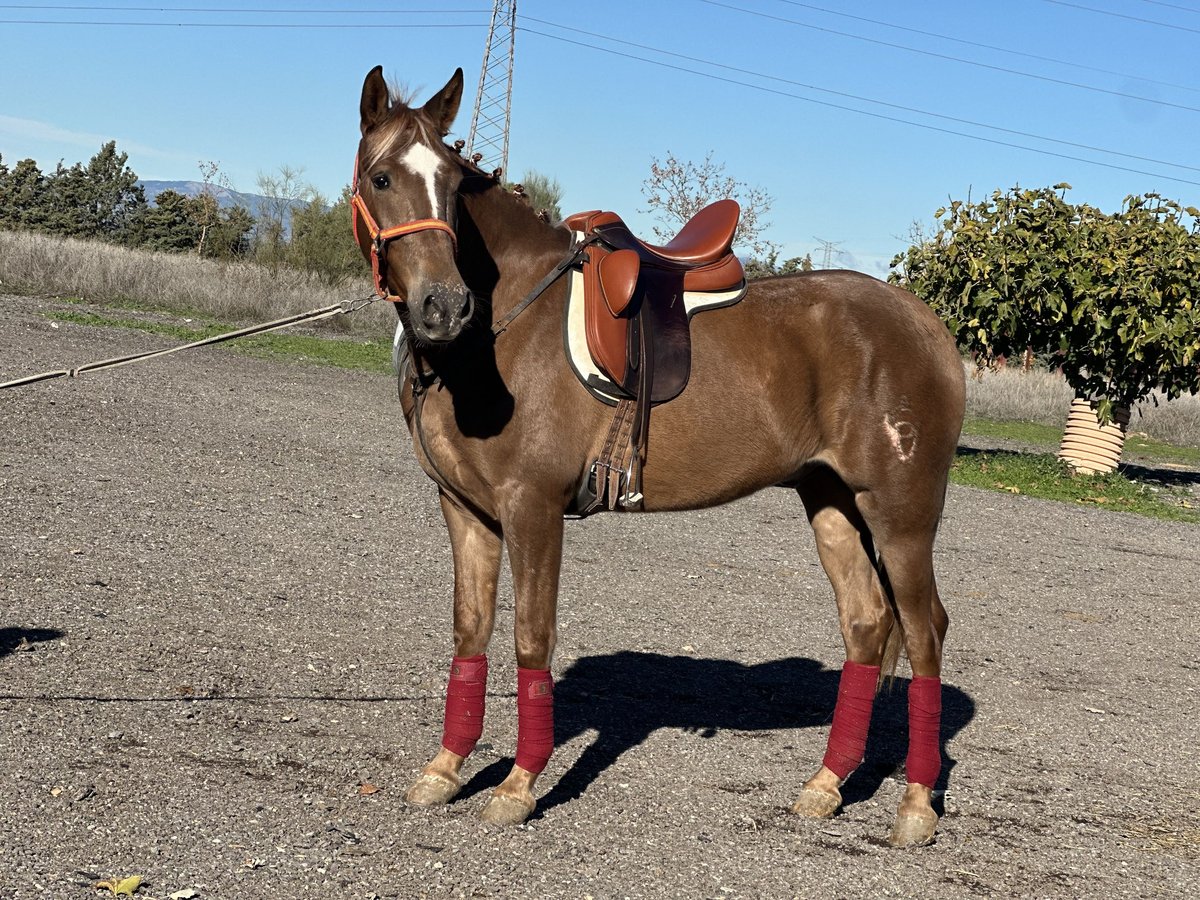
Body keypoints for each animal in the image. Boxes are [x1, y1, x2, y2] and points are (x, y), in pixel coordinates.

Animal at [352, 66, 964, 849]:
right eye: (381, 177)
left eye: (455, 187)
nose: (444, 307)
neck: (498, 334)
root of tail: (927, 325)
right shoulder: (465, 510)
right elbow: (470, 631)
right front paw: (446, 769)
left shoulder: (532, 507)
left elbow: (530, 637)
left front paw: (518, 786)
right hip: (829, 500)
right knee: (867, 621)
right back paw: (826, 785)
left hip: (901, 514)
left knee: (924, 631)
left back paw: (915, 805)